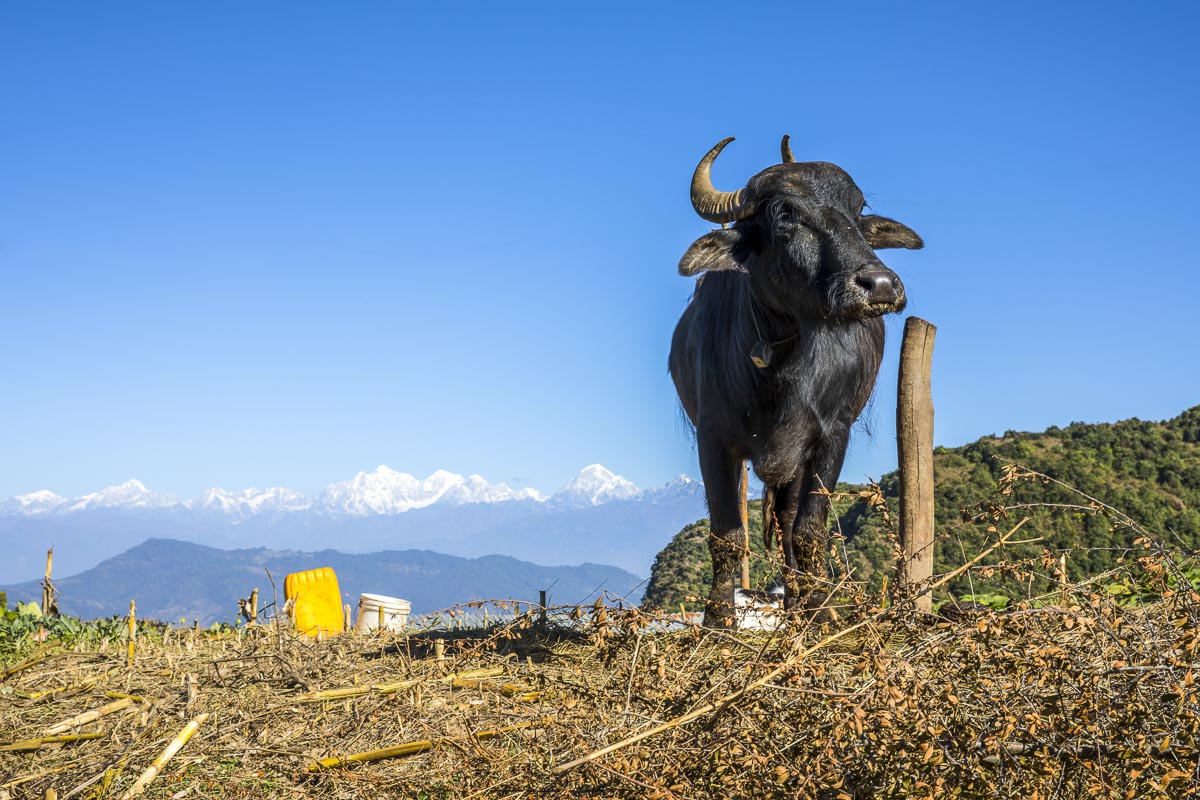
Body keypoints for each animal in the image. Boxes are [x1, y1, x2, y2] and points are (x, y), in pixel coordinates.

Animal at [669, 136, 923, 627]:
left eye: (857, 210)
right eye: (786, 214)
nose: (881, 284)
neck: (779, 361)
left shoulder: (831, 437)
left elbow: (809, 530)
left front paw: (819, 613)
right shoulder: (713, 436)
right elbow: (727, 534)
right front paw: (718, 621)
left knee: (789, 524)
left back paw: (799, 606)